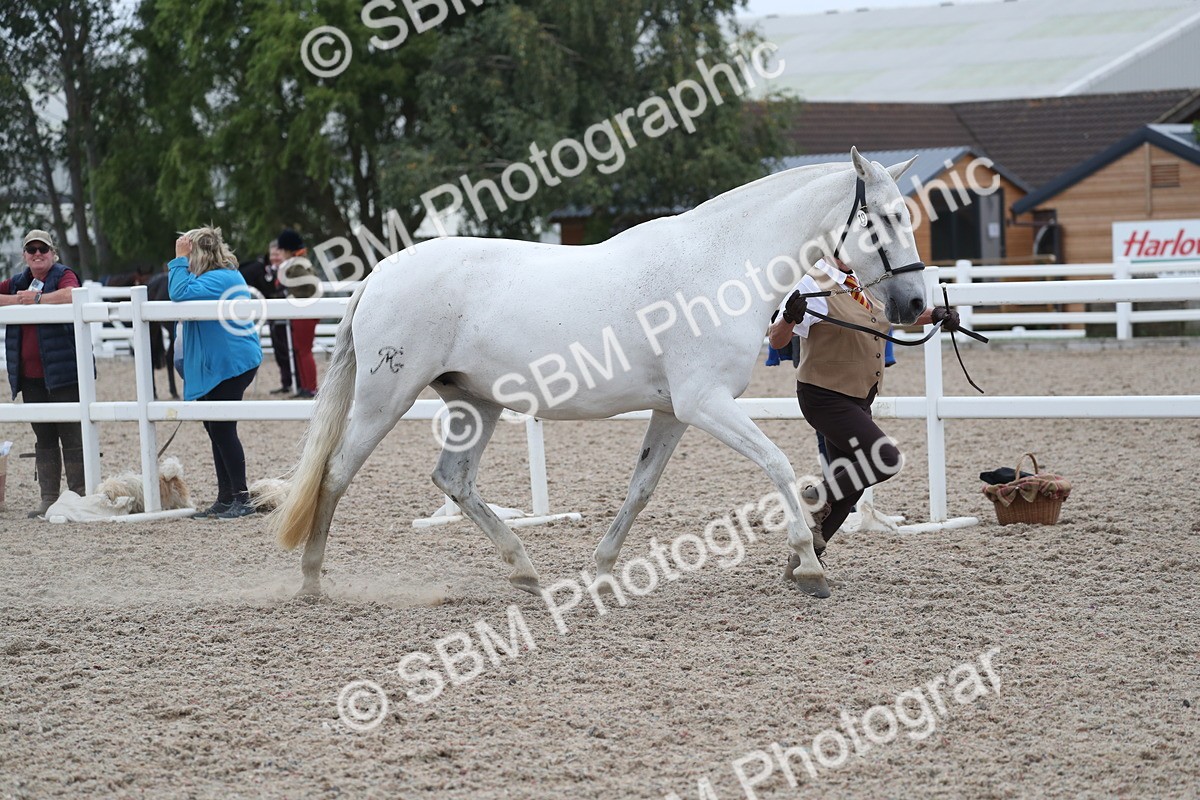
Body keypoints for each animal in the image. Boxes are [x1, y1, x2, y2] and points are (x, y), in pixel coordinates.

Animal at [267, 147, 928, 601]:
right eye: (882, 220)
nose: (917, 303)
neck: (718, 265)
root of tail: (379, 273)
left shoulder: (673, 411)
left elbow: (640, 490)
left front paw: (602, 569)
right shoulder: (706, 403)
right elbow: (779, 464)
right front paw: (808, 565)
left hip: (475, 403)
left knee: (452, 479)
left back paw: (525, 569)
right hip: (387, 397)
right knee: (335, 473)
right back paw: (311, 580)